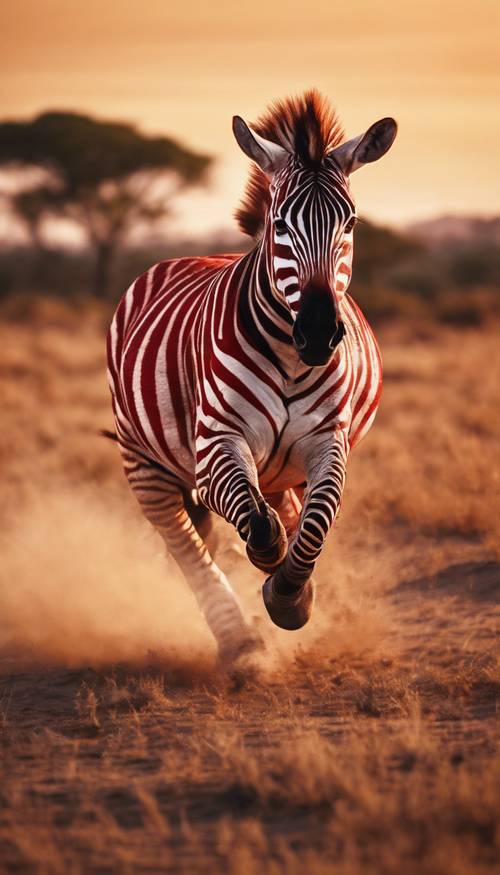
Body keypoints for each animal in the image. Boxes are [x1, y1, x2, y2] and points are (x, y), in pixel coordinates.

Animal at [107, 90, 396, 664]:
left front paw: (291, 595)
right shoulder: (215, 445)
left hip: (278, 466)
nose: (318, 334)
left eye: (351, 224)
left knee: (282, 510)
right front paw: (274, 568)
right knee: (185, 543)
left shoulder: (327, 442)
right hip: (142, 460)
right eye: (279, 224)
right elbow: (259, 524)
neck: (289, 357)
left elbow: (317, 520)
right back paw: (239, 643)